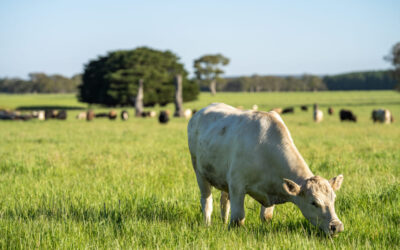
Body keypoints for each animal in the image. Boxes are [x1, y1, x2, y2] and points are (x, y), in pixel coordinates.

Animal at [188, 103, 344, 234]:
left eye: (334, 199)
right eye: (314, 203)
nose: (336, 226)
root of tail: (200, 111)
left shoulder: (273, 186)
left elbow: (266, 216)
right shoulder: (237, 185)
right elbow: (238, 218)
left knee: (224, 201)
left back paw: (223, 221)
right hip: (199, 172)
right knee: (206, 201)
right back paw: (207, 224)